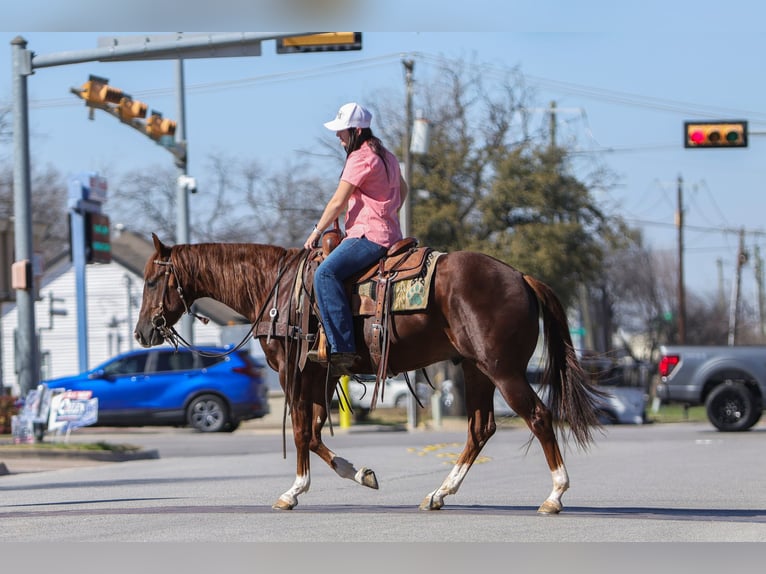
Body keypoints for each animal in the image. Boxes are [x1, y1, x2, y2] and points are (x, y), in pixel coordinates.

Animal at [134, 233, 606, 513]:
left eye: (152, 281)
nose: (141, 332)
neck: (276, 291)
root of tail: (522, 277)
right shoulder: (320, 375)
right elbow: (316, 432)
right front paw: (360, 474)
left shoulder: (292, 372)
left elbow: (302, 431)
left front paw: (293, 491)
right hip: (476, 370)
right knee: (480, 428)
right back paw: (439, 493)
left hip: (503, 370)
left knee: (539, 417)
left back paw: (555, 495)